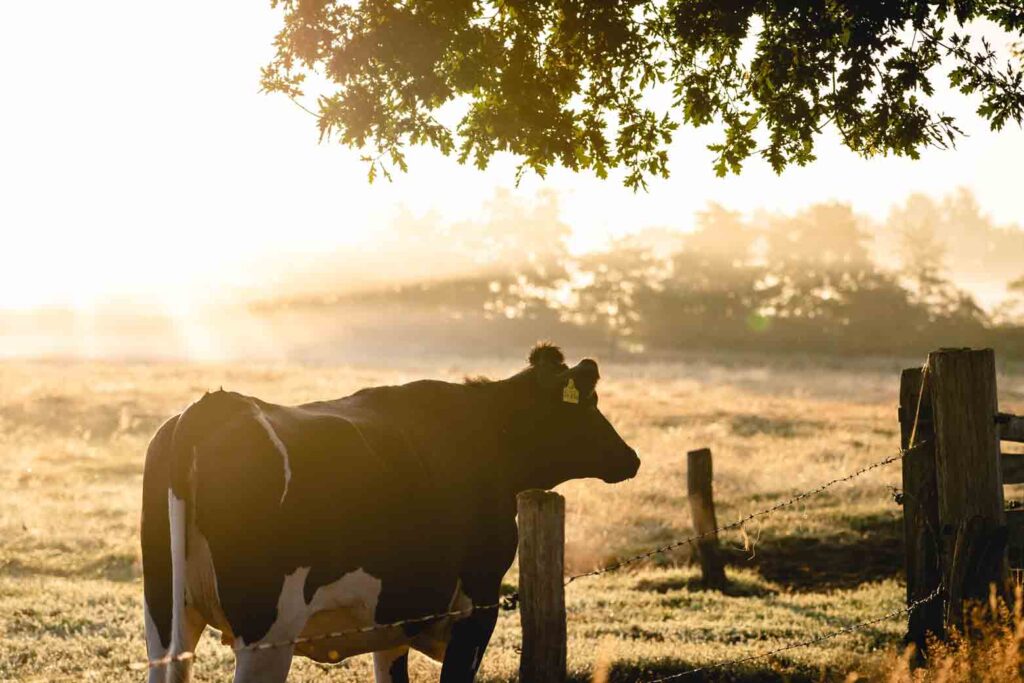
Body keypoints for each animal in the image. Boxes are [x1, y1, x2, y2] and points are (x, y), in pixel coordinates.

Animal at [142, 344, 638, 683]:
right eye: (589, 404)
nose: (631, 458)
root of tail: (212, 406)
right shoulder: (477, 604)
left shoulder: (395, 617)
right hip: (266, 633)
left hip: (165, 619)